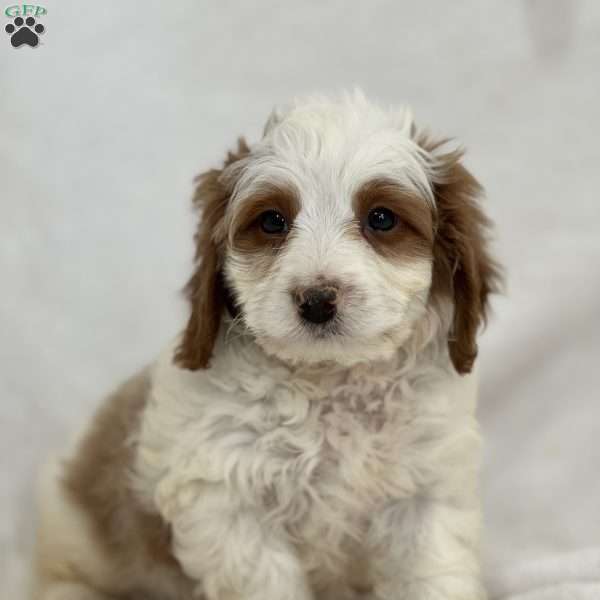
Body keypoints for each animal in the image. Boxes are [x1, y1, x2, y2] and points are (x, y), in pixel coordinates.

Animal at [34, 90, 502, 600]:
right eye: (273, 221)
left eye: (381, 218)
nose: (317, 301)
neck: (331, 383)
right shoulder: (227, 500)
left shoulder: (425, 494)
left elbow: (431, 575)